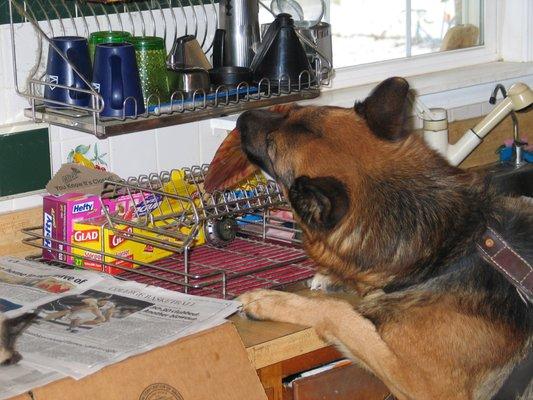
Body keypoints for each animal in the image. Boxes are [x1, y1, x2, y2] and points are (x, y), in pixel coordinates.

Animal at [237, 76, 532, 398]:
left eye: (271, 146)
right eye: (294, 110)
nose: (241, 117)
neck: (451, 243)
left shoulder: (427, 387)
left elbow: (339, 312)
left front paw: (270, 300)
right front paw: (331, 278)